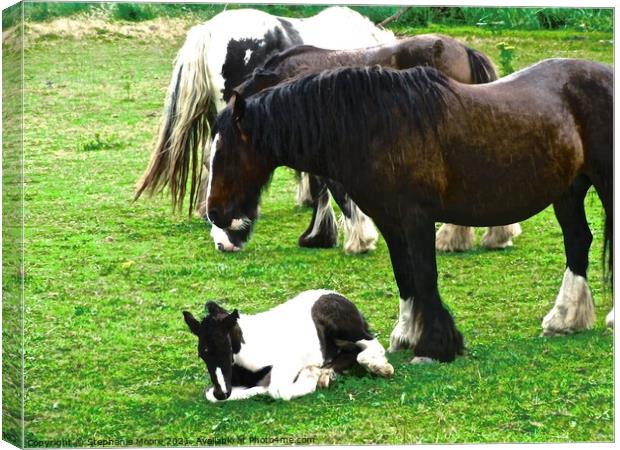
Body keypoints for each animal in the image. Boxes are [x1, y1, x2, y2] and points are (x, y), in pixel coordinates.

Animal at [182, 290, 392, 402]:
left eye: (225, 349)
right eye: (202, 355)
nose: (222, 393)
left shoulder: (290, 361)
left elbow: (277, 390)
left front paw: (310, 374)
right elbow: (209, 394)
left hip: (346, 329)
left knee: (369, 346)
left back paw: (379, 367)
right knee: (351, 352)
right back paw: (327, 373)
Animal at [206, 59, 612, 362]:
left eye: (225, 154)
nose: (216, 215)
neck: (375, 125)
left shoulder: (418, 217)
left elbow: (425, 274)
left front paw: (435, 346)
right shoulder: (390, 220)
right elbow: (405, 275)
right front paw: (406, 334)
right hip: (568, 190)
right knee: (578, 241)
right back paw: (565, 320)